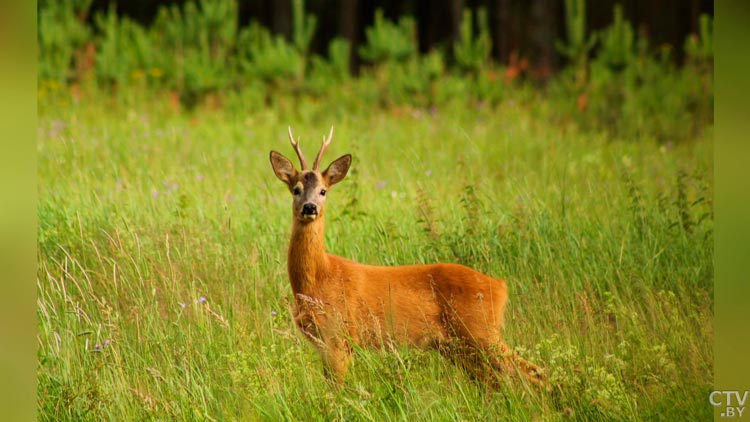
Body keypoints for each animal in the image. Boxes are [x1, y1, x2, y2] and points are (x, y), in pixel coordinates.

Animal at [270, 127, 548, 388]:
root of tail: (500, 285)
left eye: (323, 191)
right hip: (458, 346)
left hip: (481, 332)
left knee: (534, 373)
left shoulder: (340, 336)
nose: (310, 208)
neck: (318, 278)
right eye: (296, 189)